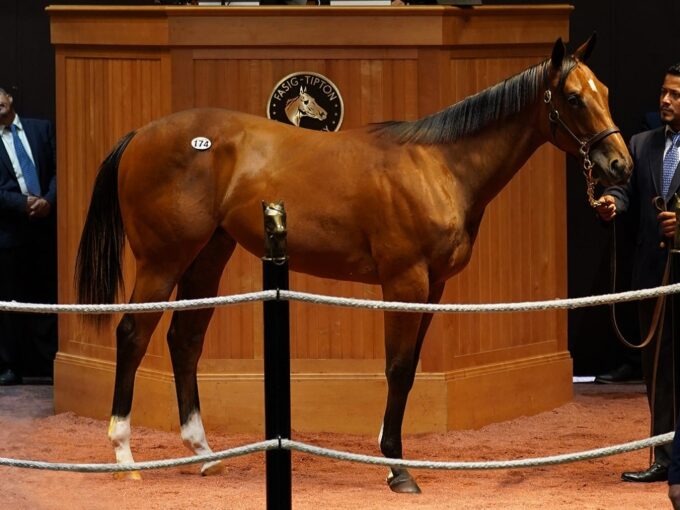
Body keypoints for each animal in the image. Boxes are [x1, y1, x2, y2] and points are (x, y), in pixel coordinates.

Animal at [78, 33, 632, 492]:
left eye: (605, 90)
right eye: (574, 98)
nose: (620, 166)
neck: (440, 166)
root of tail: (140, 135)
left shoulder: (432, 289)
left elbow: (408, 370)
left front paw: (391, 456)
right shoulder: (405, 282)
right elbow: (398, 368)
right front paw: (398, 469)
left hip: (208, 255)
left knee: (185, 339)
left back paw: (204, 453)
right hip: (162, 259)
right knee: (133, 334)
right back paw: (124, 457)